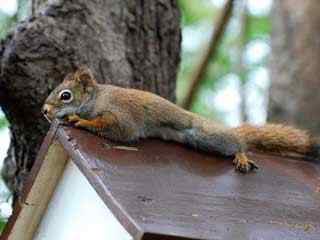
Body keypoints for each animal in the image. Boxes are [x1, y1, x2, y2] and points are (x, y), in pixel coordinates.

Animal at [42, 66, 320, 173]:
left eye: (65, 96)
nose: (44, 111)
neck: (97, 98)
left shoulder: (121, 116)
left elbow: (119, 130)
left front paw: (80, 120)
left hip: (207, 135)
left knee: (237, 142)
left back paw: (241, 154)